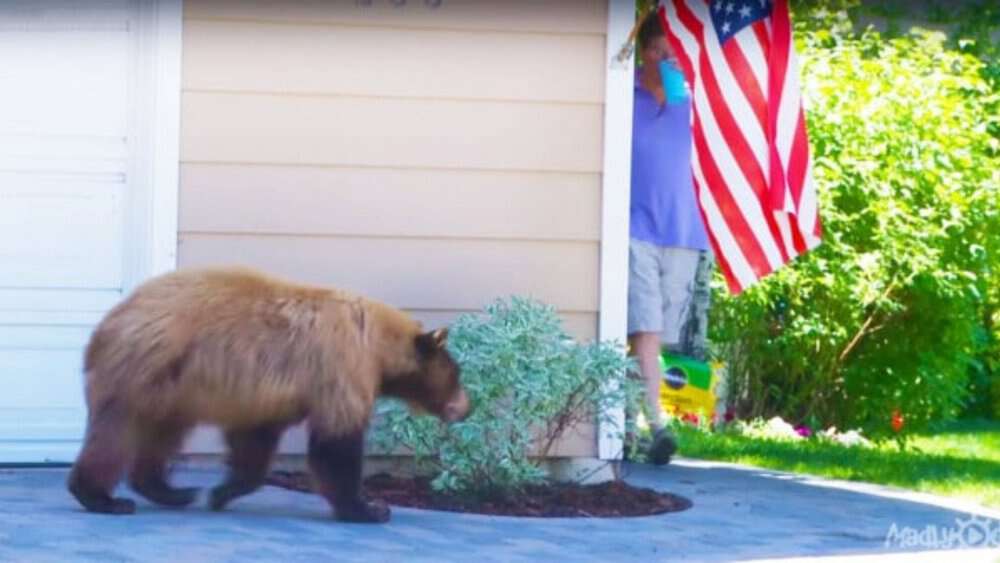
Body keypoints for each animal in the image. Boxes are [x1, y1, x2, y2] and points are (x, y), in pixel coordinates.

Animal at [67, 266, 470, 523]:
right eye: (457, 374)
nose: (467, 407)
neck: (375, 343)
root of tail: (106, 325)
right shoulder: (341, 369)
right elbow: (335, 444)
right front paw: (368, 509)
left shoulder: (265, 398)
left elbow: (254, 441)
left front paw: (222, 492)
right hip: (146, 369)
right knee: (117, 434)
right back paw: (103, 497)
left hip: (170, 390)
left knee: (161, 434)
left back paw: (170, 491)